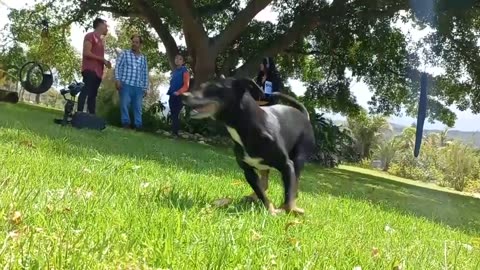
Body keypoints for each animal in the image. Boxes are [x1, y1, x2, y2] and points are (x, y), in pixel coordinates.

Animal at [181, 77, 316, 215]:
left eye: (214, 87)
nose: (183, 95)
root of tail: (304, 116)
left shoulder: (287, 165)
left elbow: (289, 194)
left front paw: (286, 210)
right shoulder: (248, 172)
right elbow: (260, 192)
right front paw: (270, 210)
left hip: (298, 159)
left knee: (295, 185)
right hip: (264, 166)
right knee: (265, 184)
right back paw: (250, 197)